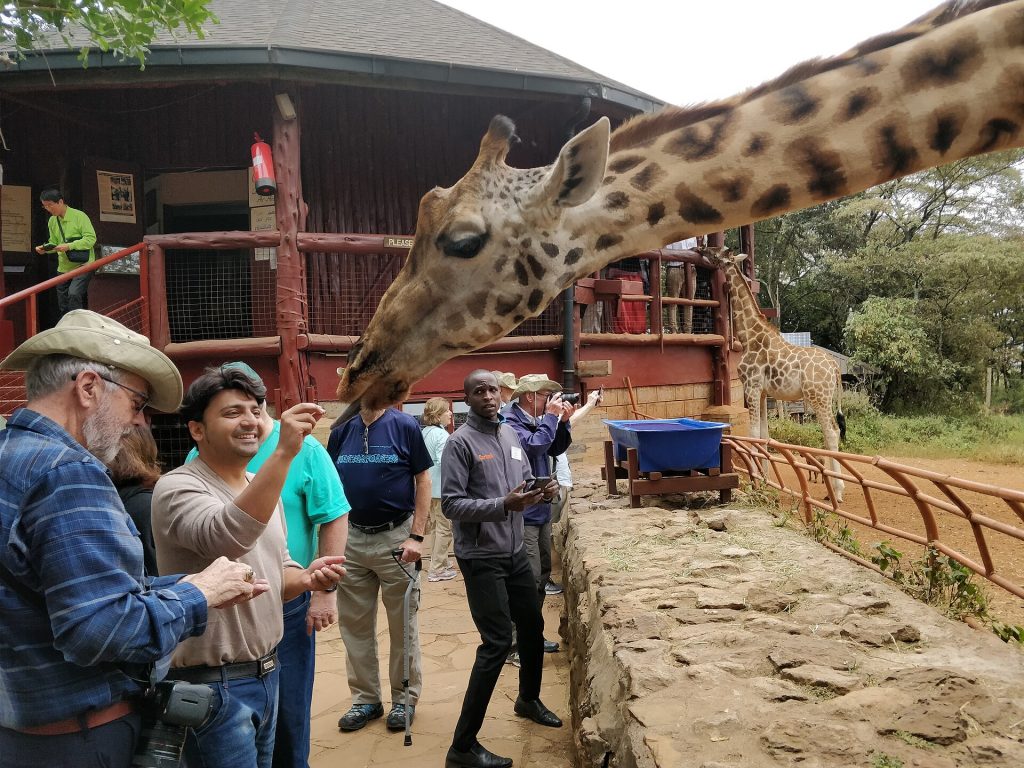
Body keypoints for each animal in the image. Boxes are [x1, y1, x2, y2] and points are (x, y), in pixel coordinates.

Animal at [703, 247, 846, 500]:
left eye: (717, 253)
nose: (699, 249)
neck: (749, 335)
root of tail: (835, 367)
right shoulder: (762, 392)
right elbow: (763, 434)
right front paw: (764, 480)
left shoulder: (751, 385)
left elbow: (751, 433)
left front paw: (753, 482)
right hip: (826, 398)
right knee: (834, 431)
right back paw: (832, 492)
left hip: (818, 397)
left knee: (831, 432)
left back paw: (837, 492)